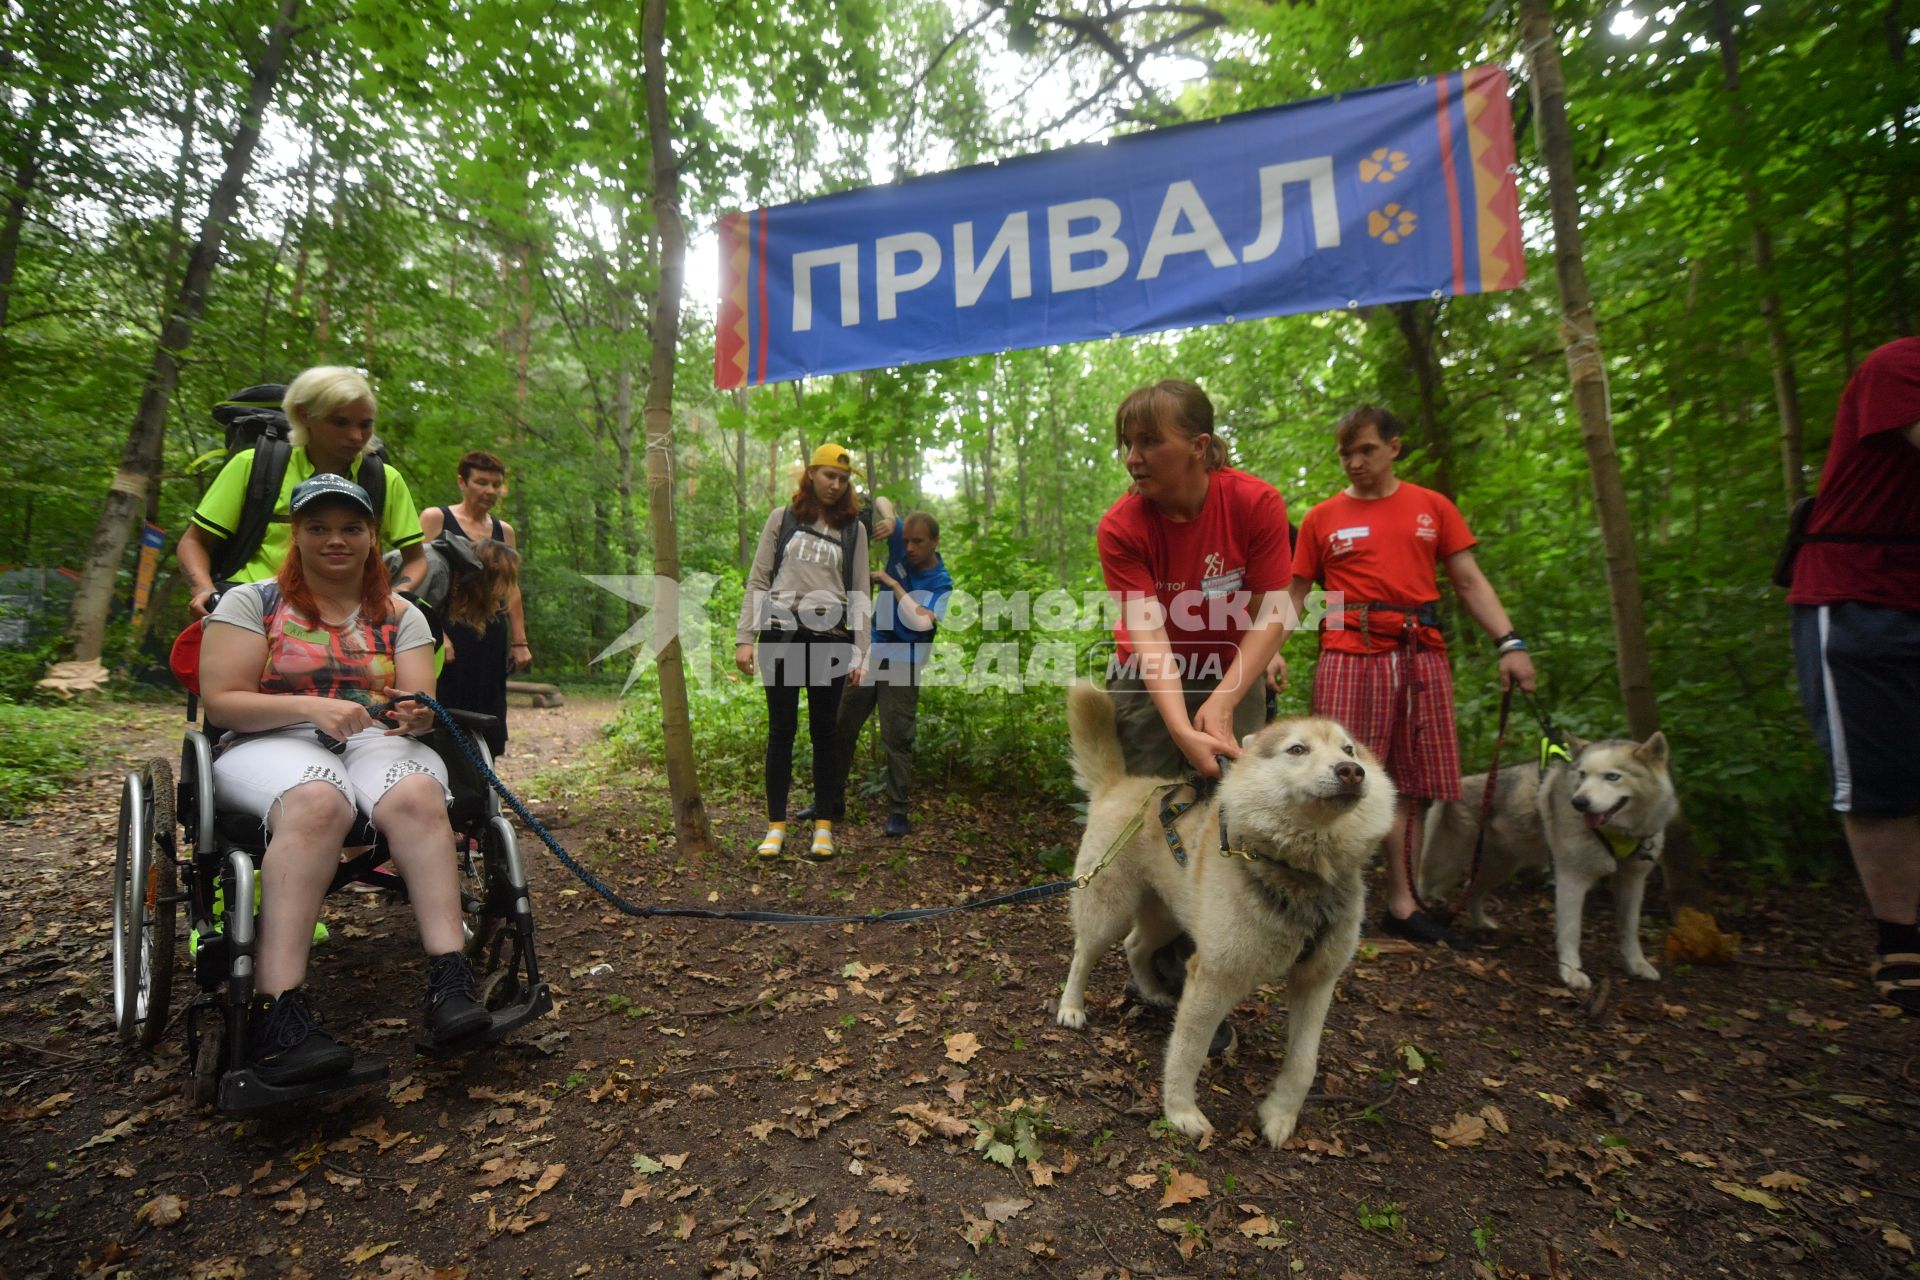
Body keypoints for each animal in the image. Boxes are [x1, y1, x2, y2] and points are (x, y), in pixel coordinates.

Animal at [1052, 687, 1397, 1143]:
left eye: (1349, 749)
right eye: (1298, 749)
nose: (1352, 772)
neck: (1300, 871)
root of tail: (1120, 784)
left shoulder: (1318, 980)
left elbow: (1304, 1063)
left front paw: (1280, 1115)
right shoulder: (1214, 976)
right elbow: (1188, 1052)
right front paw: (1180, 1111)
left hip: (1169, 916)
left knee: (1136, 945)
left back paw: (1152, 990)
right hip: (1108, 909)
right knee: (1083, 954)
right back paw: (1071, 1006)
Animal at [1420, 729, 1674, 990]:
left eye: (1612, 777)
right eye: (1582, 775)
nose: (1579, 802)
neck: (1619, 832)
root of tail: (1459, 784)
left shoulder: (1632, 881)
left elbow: (1630, 929)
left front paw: (1638, 965)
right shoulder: (1572, 879)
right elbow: (1572, 931)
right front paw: (1570, 972)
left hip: (1499, 868)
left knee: (1471, 888)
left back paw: (1481, 923)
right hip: (1443, 864)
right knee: (1418, 885)